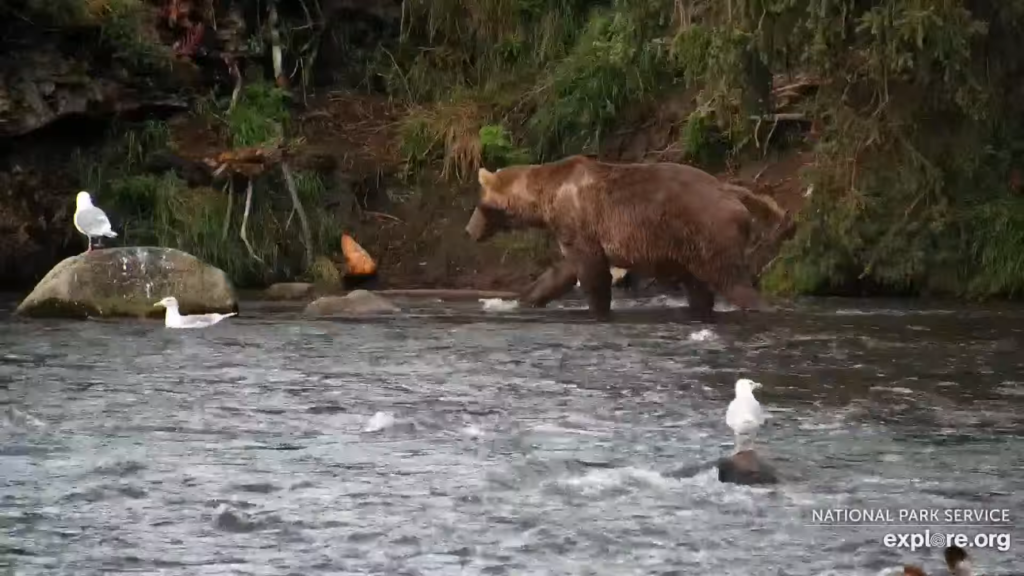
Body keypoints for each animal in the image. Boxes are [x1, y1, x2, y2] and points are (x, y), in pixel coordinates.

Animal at [464, 154, 770, 317]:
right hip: (689, 247)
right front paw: (523, 300)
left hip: (708, 232)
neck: (545, 197)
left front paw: (599, 309)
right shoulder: (571, 232)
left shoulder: (581, 221)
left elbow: (593, 275)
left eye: (479, 203)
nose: (469, 230)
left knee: (731, 279)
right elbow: (561, 272)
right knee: (698, 287)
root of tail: (730, 190)